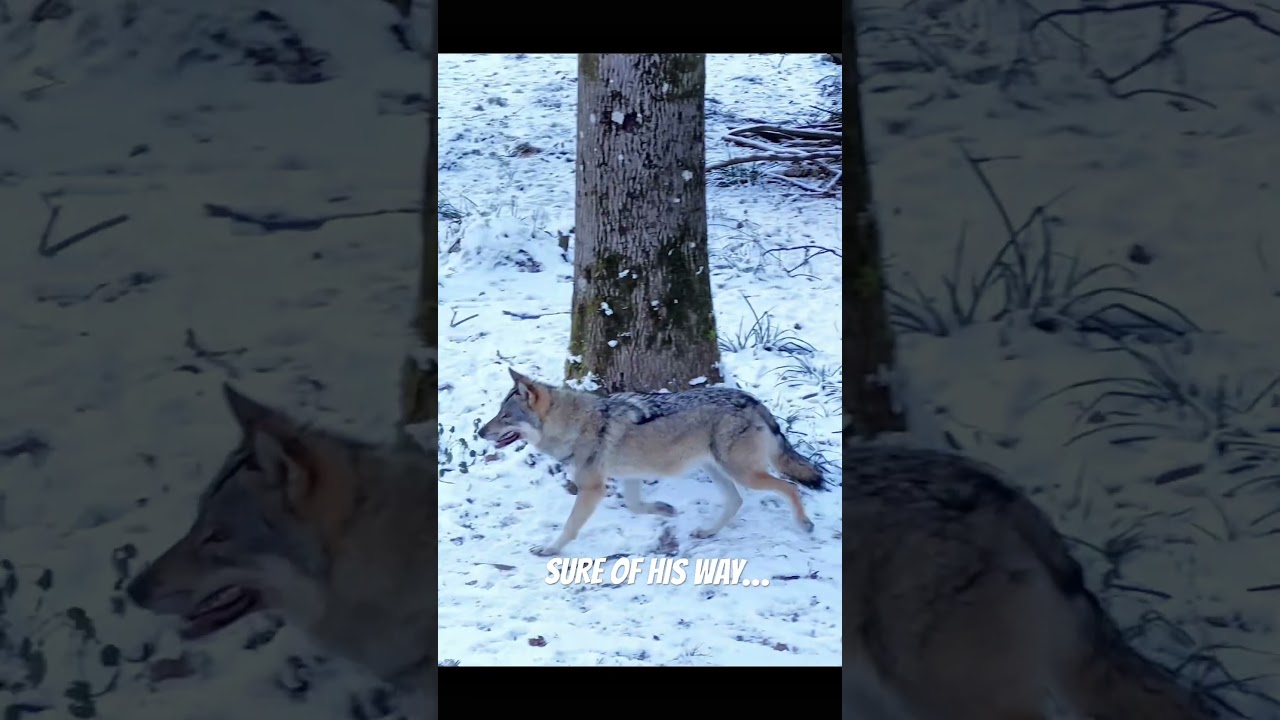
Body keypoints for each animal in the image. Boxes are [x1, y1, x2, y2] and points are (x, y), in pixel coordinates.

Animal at [477, 368, 826, 556]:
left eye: (505, 416)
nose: (480, 431)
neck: (575, 425)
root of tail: (753, 401)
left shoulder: (592, 488)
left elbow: (570, 526)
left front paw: (550, 549)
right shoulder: (629, 477)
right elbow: (636, 506)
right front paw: (666, 510)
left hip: (743, 472)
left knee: (790, 486)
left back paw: (805, 524)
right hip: (717, 469)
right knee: (737, 501)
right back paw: (707, 532)